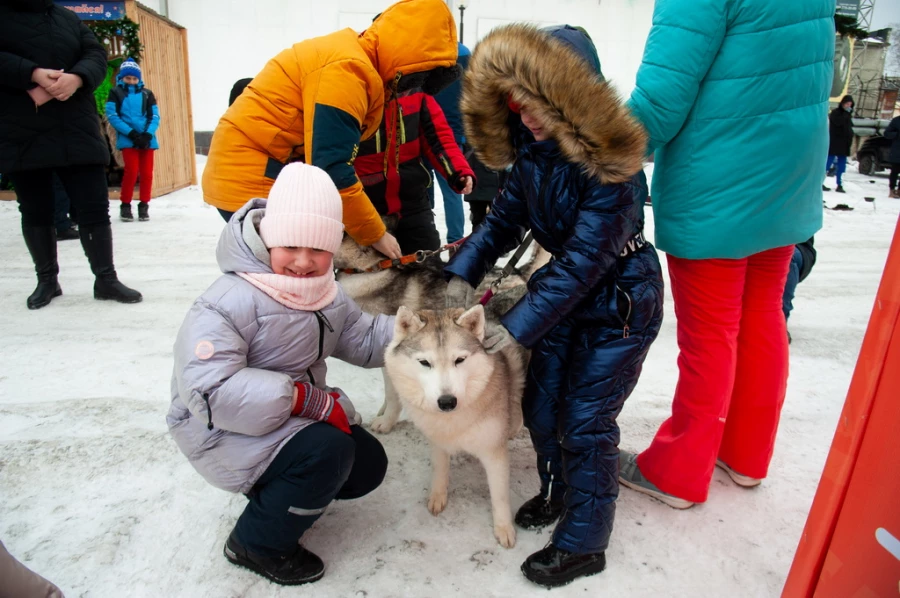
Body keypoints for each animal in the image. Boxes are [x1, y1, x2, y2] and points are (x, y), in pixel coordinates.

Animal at [384, 308, 528, 552]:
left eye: (460, 360)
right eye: (424, 362)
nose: (447, 401)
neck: (453, 420)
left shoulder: (494, 453)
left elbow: (499, 497)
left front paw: (503, 528)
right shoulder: (437, 441)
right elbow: (439, 471)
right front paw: (438, 497)